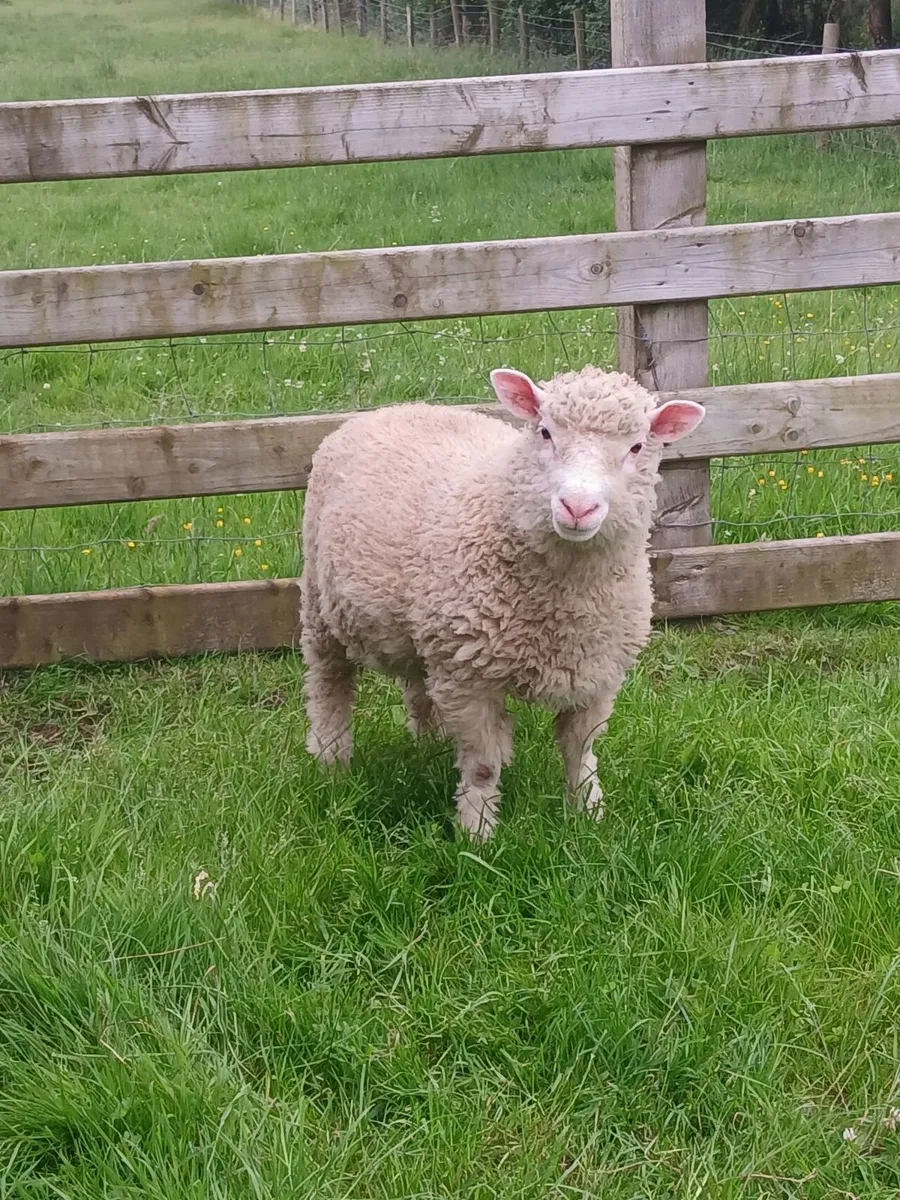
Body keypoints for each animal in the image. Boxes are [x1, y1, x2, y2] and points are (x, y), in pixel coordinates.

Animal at [300, 365, 705, 840]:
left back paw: (428, 744)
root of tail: (396, 407)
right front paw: (477, 834)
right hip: (320, 606)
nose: (577, 507)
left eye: (637, 446)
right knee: (330, 684)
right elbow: (483, 766)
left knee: (417, 687)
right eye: (545, 432)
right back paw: (331, 760)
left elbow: (581, 752)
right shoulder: (468, 679)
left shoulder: (597, 673)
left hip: (423, 628)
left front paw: (589, 815)